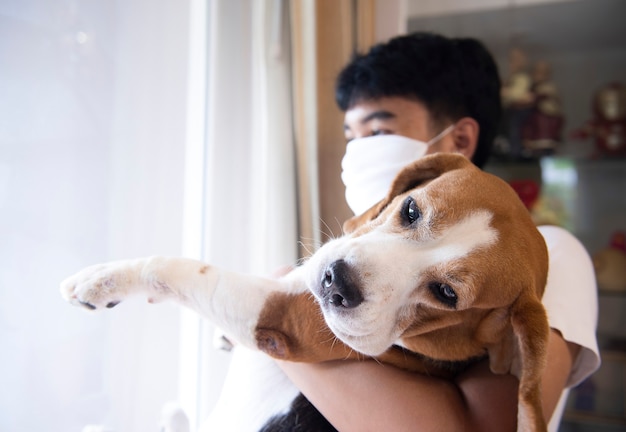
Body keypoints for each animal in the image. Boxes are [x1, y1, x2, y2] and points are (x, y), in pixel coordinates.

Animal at [58, 153, 544, 432]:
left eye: (446, 293)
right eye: (410, 210)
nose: (337, 281)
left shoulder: (278, 317)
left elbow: (179, 268)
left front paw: (102, 280)